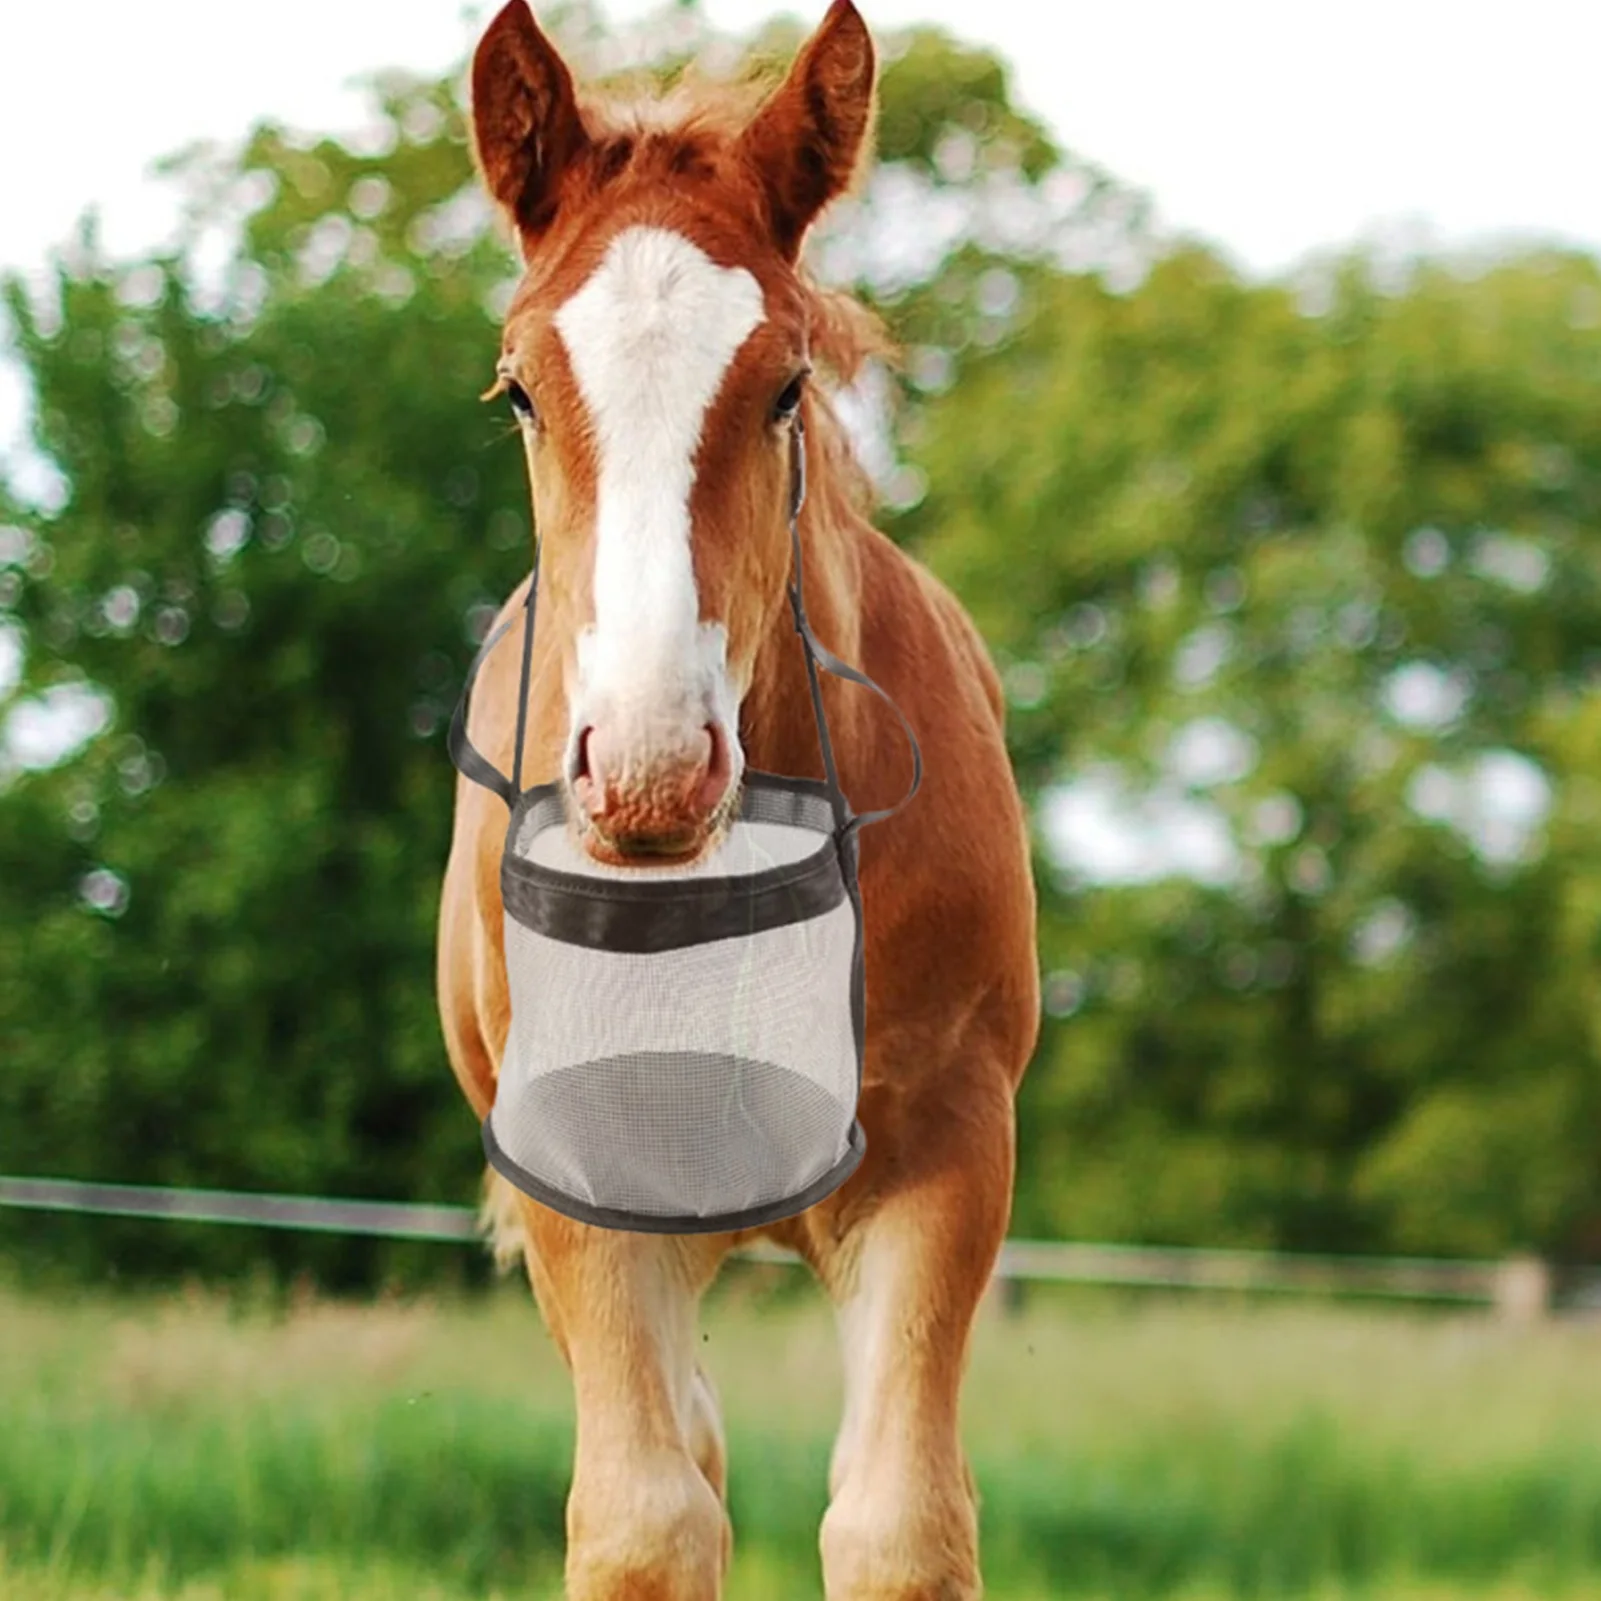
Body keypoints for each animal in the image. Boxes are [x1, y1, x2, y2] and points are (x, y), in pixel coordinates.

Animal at [435, 2, 1040, 1594]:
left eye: (784, 384)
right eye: (519, 389)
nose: (648, 768)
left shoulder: (945, 1145)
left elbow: (899, 1520)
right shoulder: (578, 1179)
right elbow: (645, 1520)